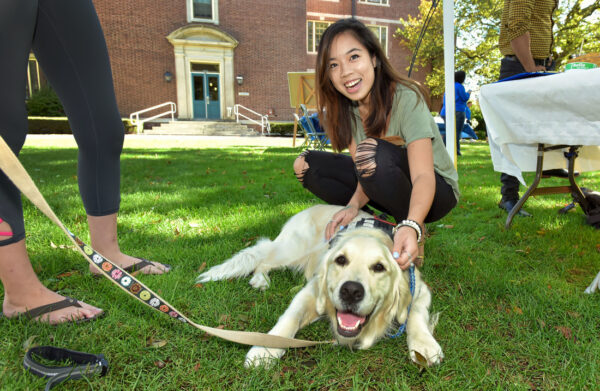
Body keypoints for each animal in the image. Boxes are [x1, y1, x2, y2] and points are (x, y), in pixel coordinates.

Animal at [197, 205, 440, 368]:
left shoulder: (419, 289)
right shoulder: (312, 292)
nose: (351, 291)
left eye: (379, 267)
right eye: (340, 260)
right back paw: (261, 280)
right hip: (291, 251)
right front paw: (265, 349)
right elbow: (290, 318)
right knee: (263, 261)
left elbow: (416, 314)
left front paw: (424, 345)